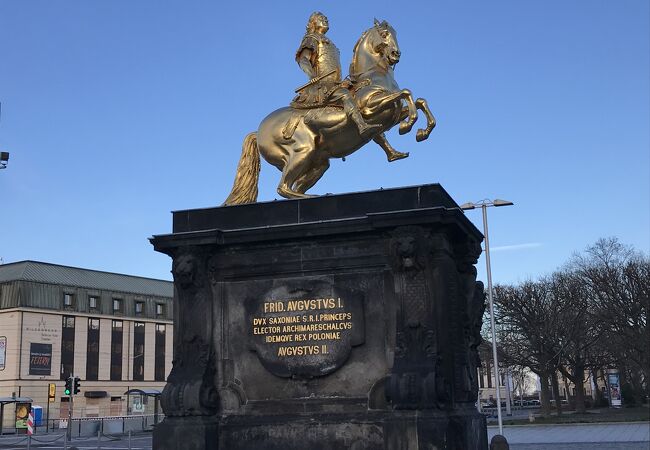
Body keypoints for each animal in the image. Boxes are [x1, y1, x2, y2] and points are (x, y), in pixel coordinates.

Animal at [224, 20, 436, 205]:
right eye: (384, 34)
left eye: (395, 33)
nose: (395, 54)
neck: (374, 75)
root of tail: (259, 131)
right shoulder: (370, 107)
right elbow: (406, 93)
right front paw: (408, 126)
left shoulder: (392, 114)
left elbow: (419, 101)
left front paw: (421, 132)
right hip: (302, 151)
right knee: (283, 187)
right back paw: (313, 197)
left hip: (318, 163)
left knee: (294, 186)